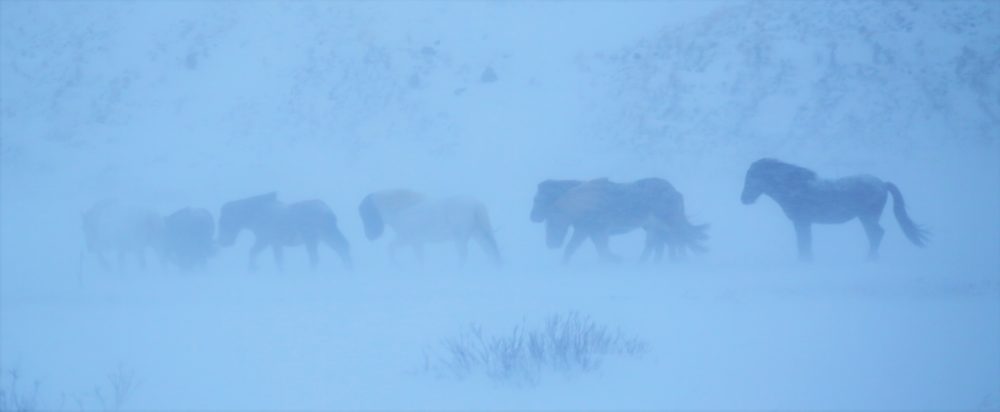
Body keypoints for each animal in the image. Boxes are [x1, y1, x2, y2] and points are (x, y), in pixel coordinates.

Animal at [217, 192, 354, 272]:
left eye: (223, 222)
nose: (222, 243)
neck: (254, 215)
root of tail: (328, 210)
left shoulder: (264, 239)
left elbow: (253, 251)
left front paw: (253, 268)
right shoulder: (274, 243)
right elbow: (278, 259)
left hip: (313, 238)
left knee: (317, 256)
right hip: (325, 236)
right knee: (342, 246)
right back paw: (347, 267)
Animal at [358, 189, 500, 266]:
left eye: (365, 214)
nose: (369, 236)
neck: (402, 209)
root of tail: (477, 205)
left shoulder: (408, 239)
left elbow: (390, 248)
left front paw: (397, 265)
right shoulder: (416, 242)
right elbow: (420, 258)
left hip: (460, 237)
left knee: (464, 254)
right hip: (477, 234)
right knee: (489, 250)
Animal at [532, 178, 712, 264]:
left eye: (538, 199)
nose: (532, 217)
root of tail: (675, 191)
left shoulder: (589, 229)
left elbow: (575, 247)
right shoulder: (590, 230)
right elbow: (596, 247)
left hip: (665, 224)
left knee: (670, 241)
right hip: (655, 226)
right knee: (661, 244)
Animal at [740, 158, 924, 260]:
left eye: (751, 177)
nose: (743, 199)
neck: (794, 188)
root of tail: (882, 183)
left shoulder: (802, 222)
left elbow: (804, 243)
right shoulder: (804, 223)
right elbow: (805, 243)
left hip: (868, 217)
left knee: (876, 234)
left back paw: (870, 258)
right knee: (875, 235)